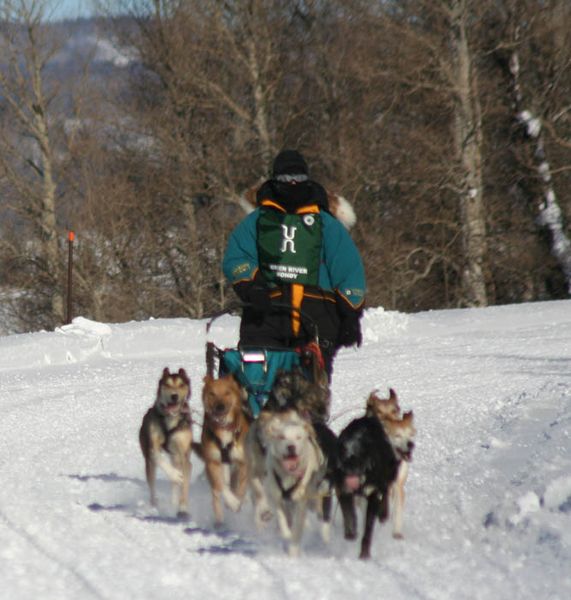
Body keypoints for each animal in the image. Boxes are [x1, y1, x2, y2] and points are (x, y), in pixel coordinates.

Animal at [139, 368, 193, 516]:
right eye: (167, 385)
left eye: (181, 385)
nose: (174, 396)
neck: (170, 419)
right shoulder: (152, 447)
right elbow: (159, 458)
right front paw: (175, 475)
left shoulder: (184, 455)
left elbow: (185, 484)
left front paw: (182, 508)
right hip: (149, 464)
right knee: (153, 486)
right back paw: (154, 506)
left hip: (177, 457)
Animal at [194, 376, 250, 524]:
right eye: (212, 393)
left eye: (227, 393)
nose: (220, 406)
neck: (224, 429)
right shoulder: (212, 462)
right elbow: (220, 485)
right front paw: (233, 503)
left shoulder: (243, 463)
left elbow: (240, 488)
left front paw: (238, 502)